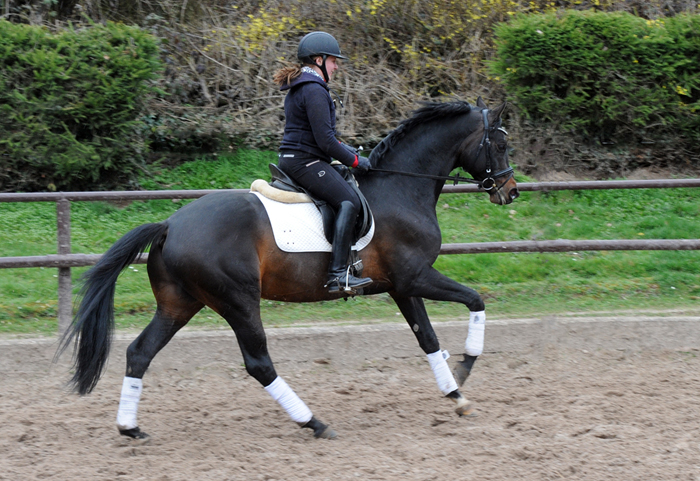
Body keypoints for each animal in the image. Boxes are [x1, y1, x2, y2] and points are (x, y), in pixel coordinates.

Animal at [57, 97, 520, 438]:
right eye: (499, 143)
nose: (510, 191)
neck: (400, 187)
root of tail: (169, 224)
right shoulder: (417, 277)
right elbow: (475, 300)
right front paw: (466, 364)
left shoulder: (401, 286)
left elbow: (427, 339)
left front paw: (456, 395)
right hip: (238, 300)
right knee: (259, 363)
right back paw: (313, 422)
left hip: (180, 303)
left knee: (140, 352)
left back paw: (130, 428)